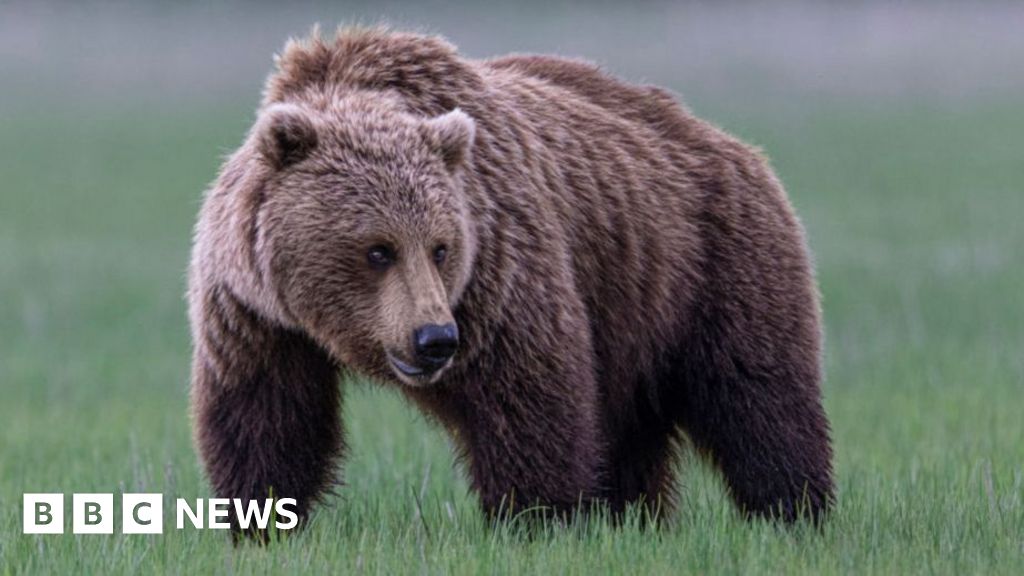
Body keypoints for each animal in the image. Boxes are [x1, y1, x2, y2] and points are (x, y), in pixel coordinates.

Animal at [187, 27, 834, 535]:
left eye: (441, 247)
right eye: (377, 249)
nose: (434, 339)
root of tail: (731, 143)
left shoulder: (498, 270)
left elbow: (529, 394)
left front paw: (537, 517)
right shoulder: (255, 313)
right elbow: (267, 415)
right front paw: (259, 519)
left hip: (711, 262)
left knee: (756, 395)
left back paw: (793, 510)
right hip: (632, 312)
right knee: (631, 426)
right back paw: (633, 515)